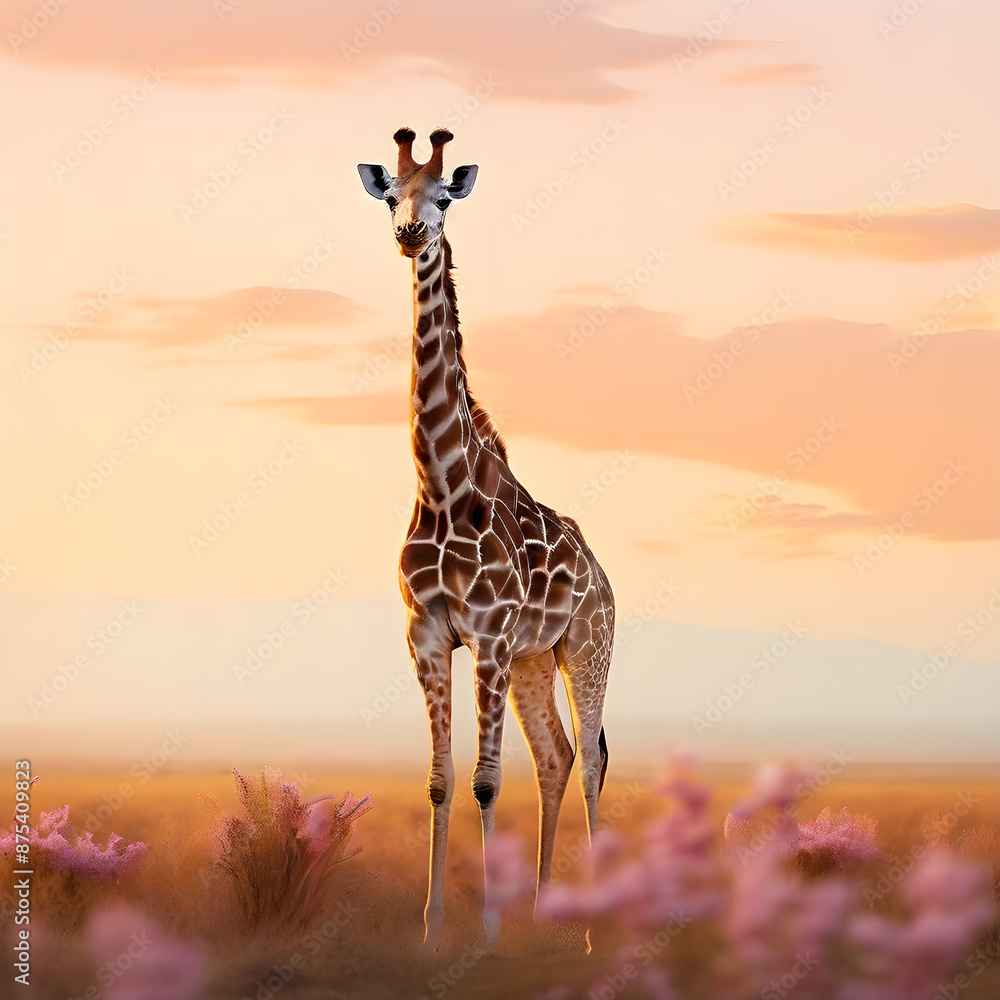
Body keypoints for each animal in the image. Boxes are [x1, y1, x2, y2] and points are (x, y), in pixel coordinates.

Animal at [358, 128, 615, 951]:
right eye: (390, 195)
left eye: (443, 196)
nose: (411, 234)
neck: (441, 484)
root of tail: (604, 576)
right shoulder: (429, 633)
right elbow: (443, 782)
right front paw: (435, 928)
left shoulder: (491, 634)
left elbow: (484, 779)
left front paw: (490, 933)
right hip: (537, 660)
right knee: (558, 757)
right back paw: (546, 913)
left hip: (586, 648)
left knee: (591, 759)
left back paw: (594, 932)